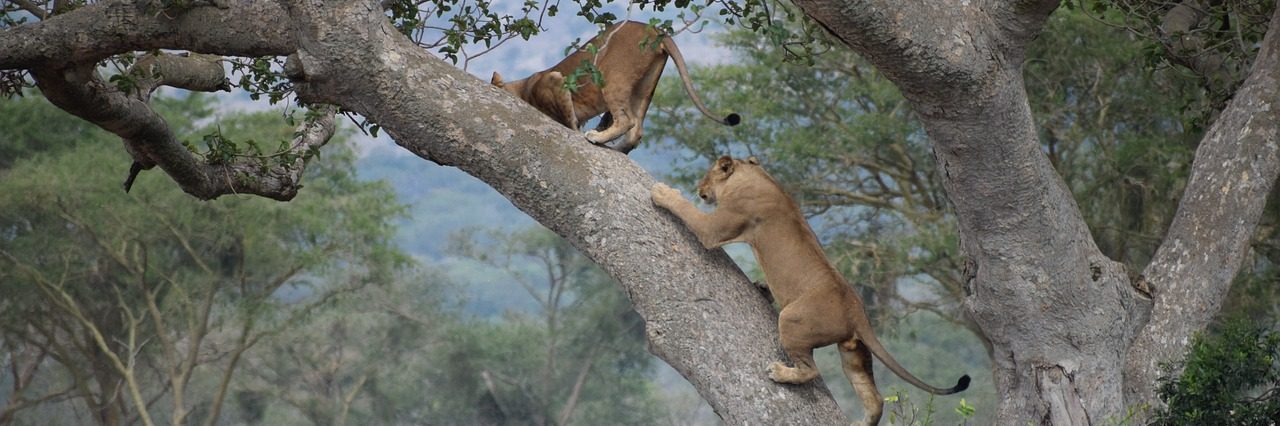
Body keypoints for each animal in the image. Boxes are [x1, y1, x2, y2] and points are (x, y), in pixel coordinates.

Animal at [488, 21, 742, 154]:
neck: (523, 86)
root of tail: (653, 29)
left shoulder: (555, 80)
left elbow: (568, 118)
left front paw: (578, 130)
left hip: (612, 75)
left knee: (626, 120)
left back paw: (597, 138)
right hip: (644, 86)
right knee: (636, 129)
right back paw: (617, 147)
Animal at [650, 155, 967, 424]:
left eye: (707, 175)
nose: (699, 188)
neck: (754, 175)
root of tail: (858, 312)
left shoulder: (716, 228)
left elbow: (688, 211)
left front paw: (662, 192)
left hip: (792, 320)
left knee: (811, 370)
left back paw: (780, 372)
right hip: (853, 353)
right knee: (874, 398)